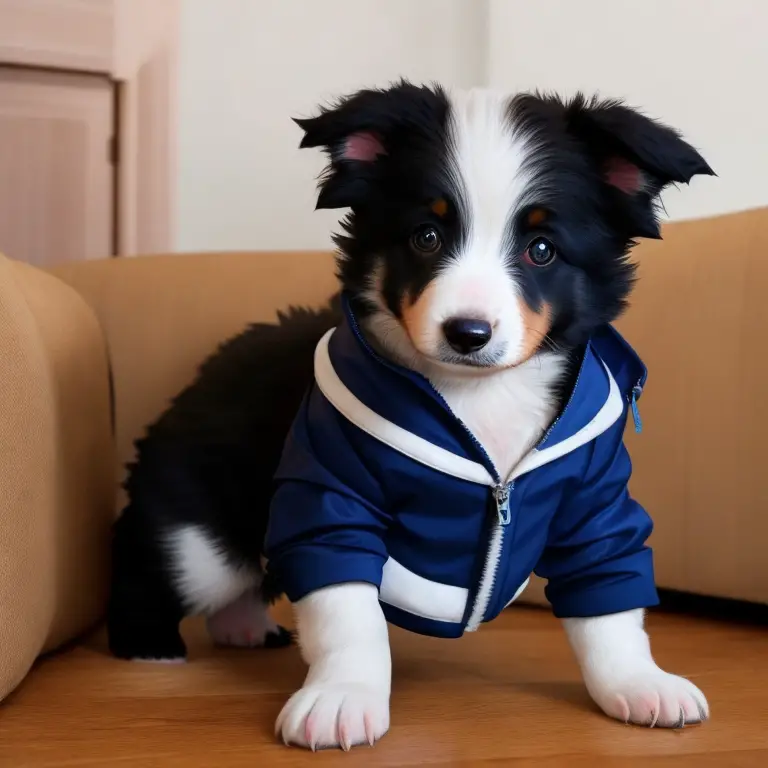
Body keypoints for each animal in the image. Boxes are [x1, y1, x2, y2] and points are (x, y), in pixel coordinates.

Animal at [108, 82, 712, 752]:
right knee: (159, 558)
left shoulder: (592, 502)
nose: (468, 332)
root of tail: (213, 362)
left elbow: (610, 602)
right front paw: (343, 697)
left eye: (542, 250)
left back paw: (243, 628)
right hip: (201, 531)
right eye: (426, 237)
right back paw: (149, 645)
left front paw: (640, 683)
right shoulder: (332, 494)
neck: (477, 397)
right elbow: (348, 611)